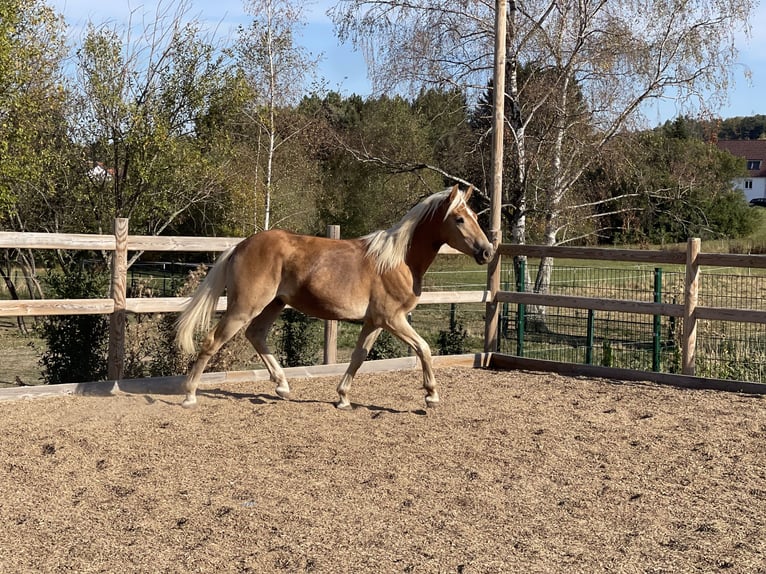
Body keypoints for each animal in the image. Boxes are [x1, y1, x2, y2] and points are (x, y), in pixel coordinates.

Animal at [175, 184, 494, 409]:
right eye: (459, 219)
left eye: (475, 217)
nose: (487, 251)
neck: (397, 261)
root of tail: (239, 247)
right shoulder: (393, 319)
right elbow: (424, 349)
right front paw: (431, 396)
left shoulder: (374, 322)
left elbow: (359, 356)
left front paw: (342, 397)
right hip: (244, 306)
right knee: (212, 341)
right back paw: (189, 395)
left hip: (274, 304)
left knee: (256, 335)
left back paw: (282, 386)